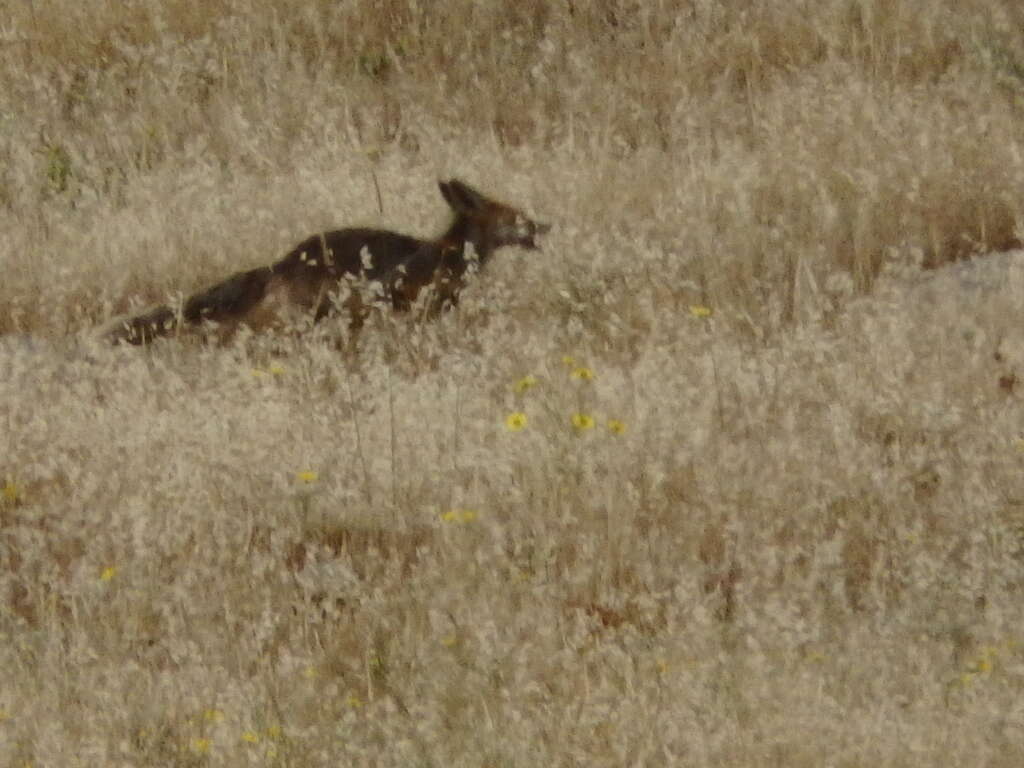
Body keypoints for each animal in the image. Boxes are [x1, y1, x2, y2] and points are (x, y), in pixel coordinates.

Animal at [107, 179, 548, 344]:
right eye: (517, 219)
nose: (544, 225)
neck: (446, 256)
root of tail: (281, 262)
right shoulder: (409, 303)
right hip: (307, 312)